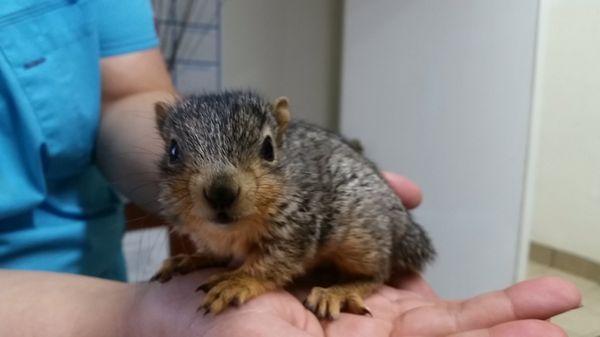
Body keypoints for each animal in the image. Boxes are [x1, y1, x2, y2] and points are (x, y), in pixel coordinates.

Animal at [149, 90, 432, 318]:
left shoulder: (298, 224)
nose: (221, 193)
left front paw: (237, 282)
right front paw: (191, 258)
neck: (229, 232)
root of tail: (405, 227)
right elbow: (215, 252)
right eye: (173, 151)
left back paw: (339, 291)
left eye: (268, 148)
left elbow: (273, 262)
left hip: (362, 234)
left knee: (378, 274)